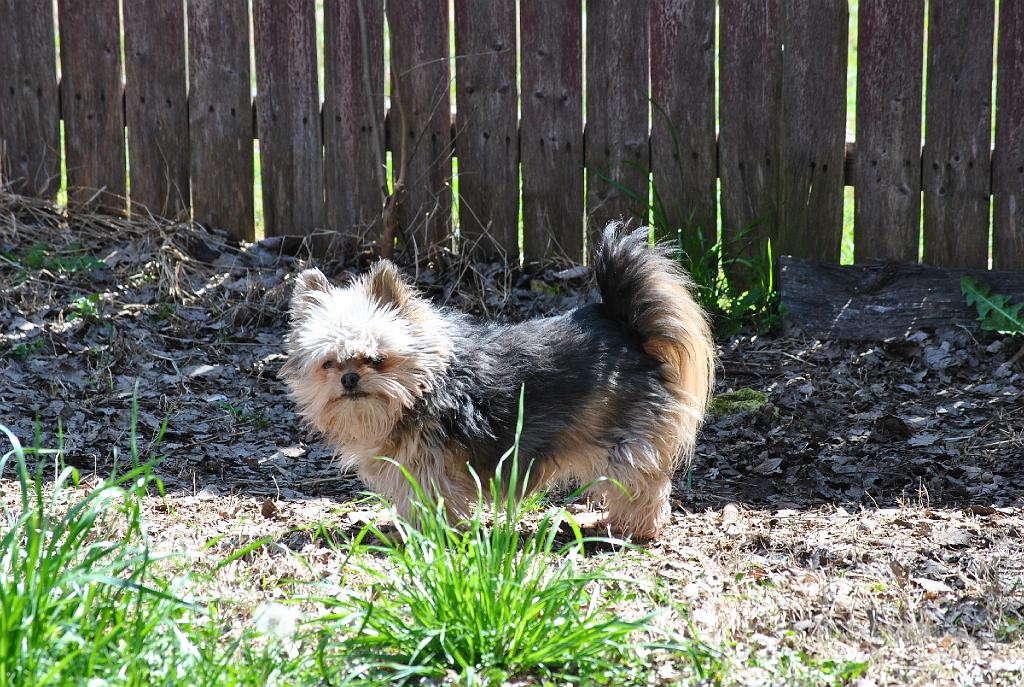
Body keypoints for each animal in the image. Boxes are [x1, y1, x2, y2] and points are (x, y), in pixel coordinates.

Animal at [280, 225, 712, 536]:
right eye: (330, 364)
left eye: (376, 359)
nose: (350, 378)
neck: (418, 392)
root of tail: (624, 325)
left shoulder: (430, 470)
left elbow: (433, 505)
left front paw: (429, 537)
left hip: (622, 442)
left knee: (643, 485)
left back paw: (633, 529)